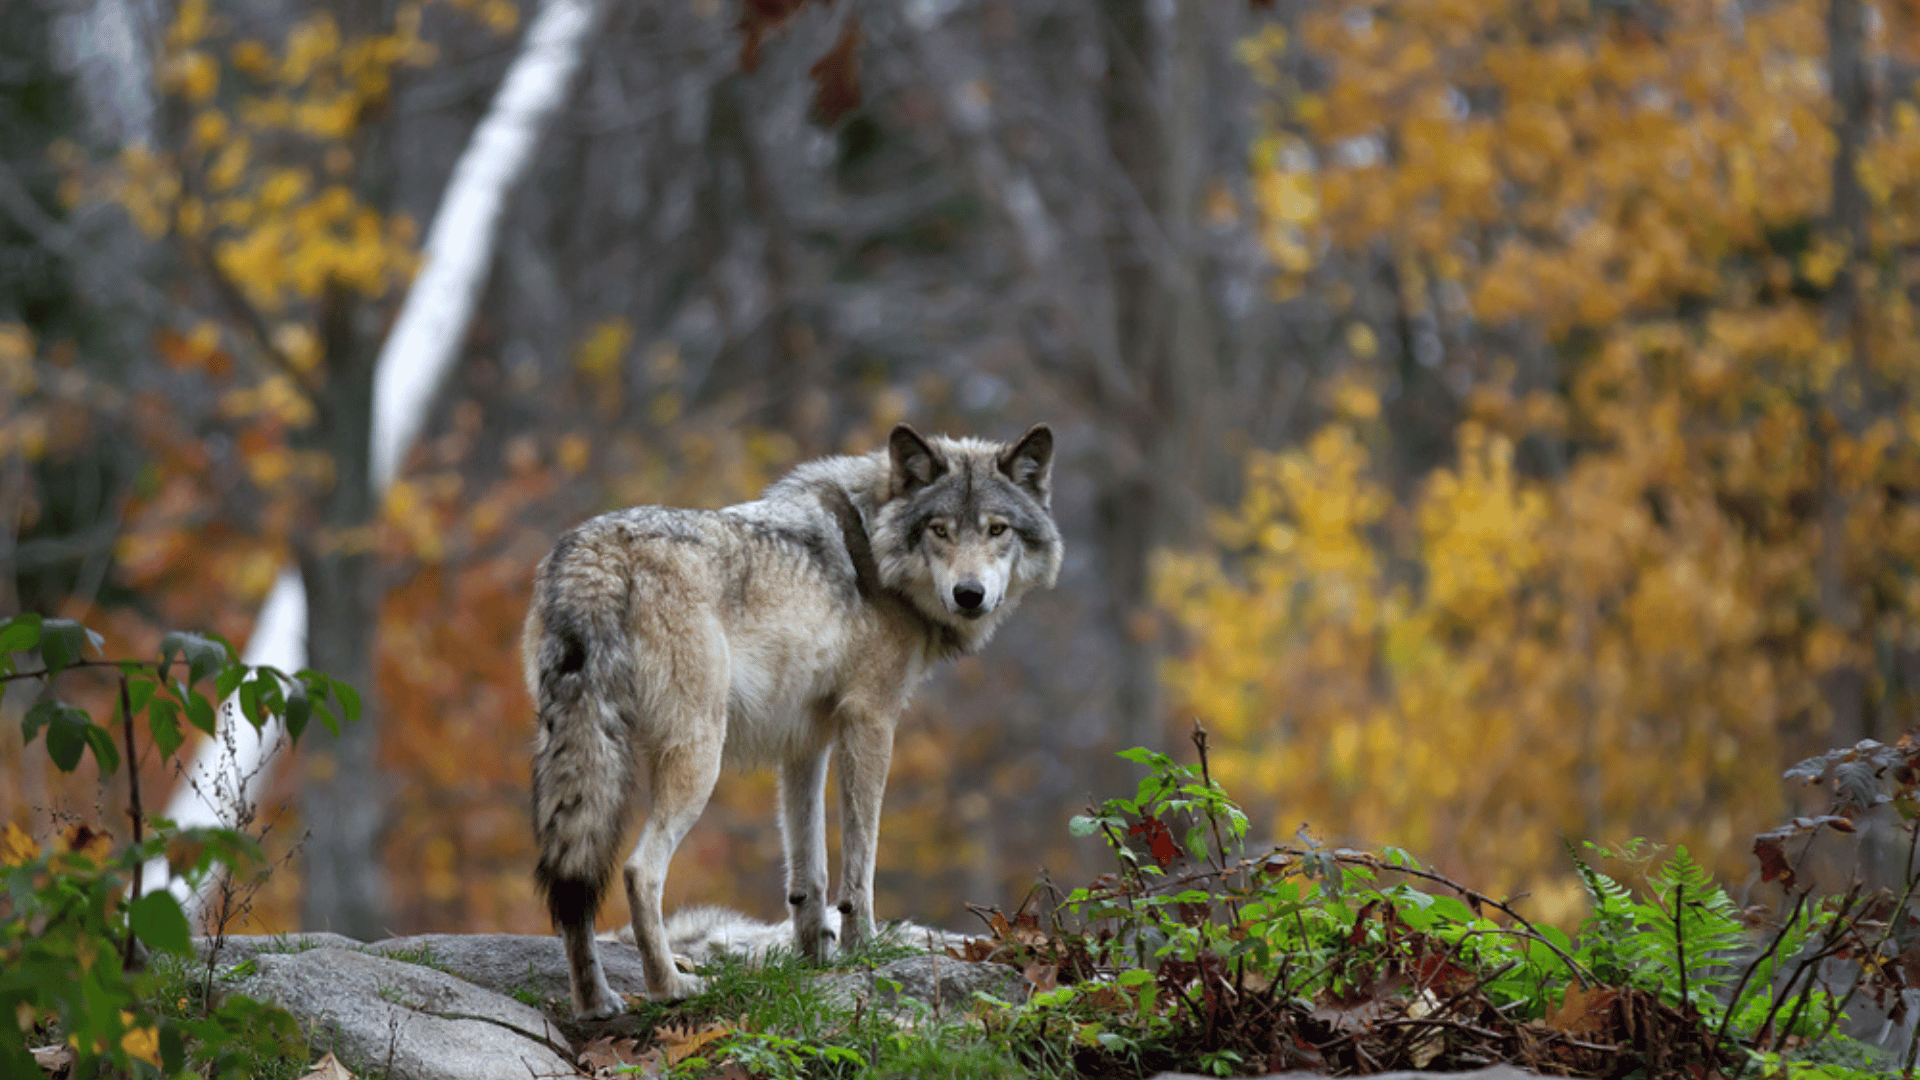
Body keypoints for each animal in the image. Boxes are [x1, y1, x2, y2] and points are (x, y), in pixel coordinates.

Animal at [529, 422, 1067, 1014]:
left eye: (997, 529)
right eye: (940, 530)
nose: (969, 595)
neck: (873, 547)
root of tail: (595, 553)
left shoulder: (804, 743)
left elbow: (809, 871)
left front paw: (815, 961)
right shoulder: (871, 720)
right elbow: (860, 862)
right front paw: (863, 949)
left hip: (580, 754)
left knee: (573, 881)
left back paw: (595, 1002)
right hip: (698, 758)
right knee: (637, 870)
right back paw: (670, 986)